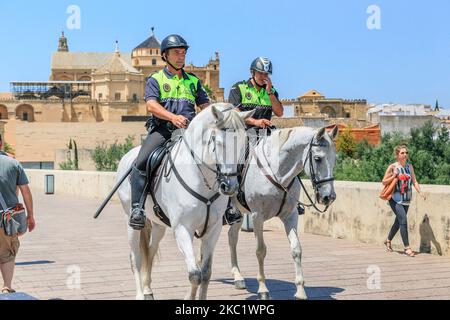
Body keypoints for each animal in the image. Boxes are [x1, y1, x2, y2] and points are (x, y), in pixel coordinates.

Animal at [117, 103, 253, 300]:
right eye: (219, 143)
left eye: (243, 144)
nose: (230, 186)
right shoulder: (182, 228)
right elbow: (194, 274)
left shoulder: (213, 229)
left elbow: (206, 272)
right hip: (132, 221)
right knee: (135, 257)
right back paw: (140, 294)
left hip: (158, 224)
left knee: (150, 252)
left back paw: (148, 289)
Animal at [229, 125, 338, 300]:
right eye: (318, 158)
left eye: (335, 159)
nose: (329, 197)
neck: (278, 172)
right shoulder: (257, 216)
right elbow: (260, 251)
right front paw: (263, 288)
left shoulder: (290, 215)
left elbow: (296, 249)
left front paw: (300, 290)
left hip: (238, 213)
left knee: (232, 238)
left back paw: (237, 277)